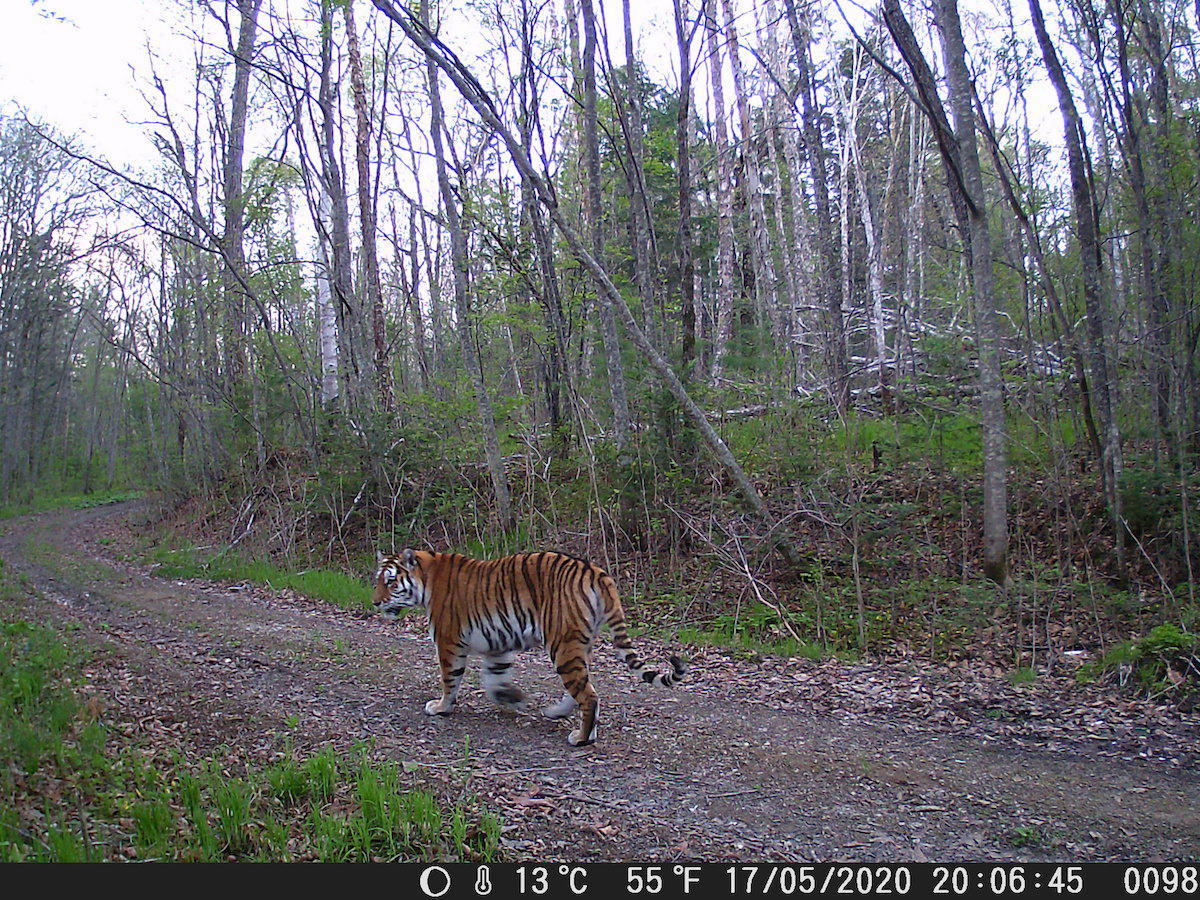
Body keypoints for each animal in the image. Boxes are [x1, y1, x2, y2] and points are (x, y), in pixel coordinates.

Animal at [369, 549, 686, 748]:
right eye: (378, 581)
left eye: (391, 582)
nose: (374, 602)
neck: (426, 578)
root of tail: (595, 570)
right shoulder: (496, 644)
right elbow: (494, 678)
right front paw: (513, 698)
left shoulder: (449, 641)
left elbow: (450, 679)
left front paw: (440, 707)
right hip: (580, 644)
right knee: (583, 689)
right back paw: (559, 714)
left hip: (562, 643)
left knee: (589, 695)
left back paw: (581, 738)